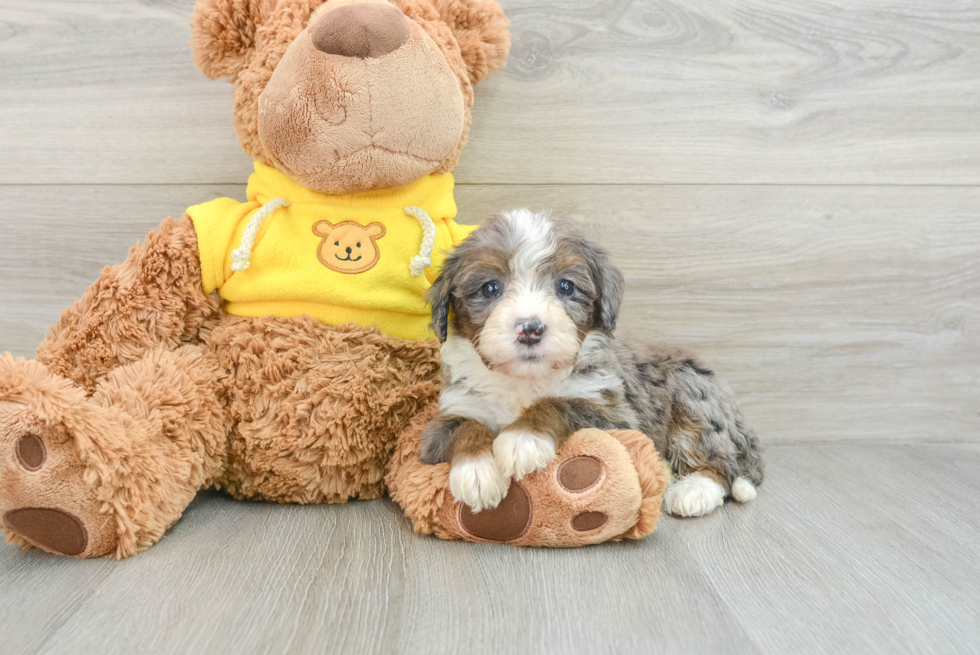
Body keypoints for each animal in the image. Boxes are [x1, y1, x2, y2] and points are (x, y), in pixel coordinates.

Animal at [418, 210, 760, 516]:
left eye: (566, 286)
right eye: (490, 287)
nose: (531, 329)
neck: (525, 381)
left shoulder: (616, 416)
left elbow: (560, 403)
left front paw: (522, 439)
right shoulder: (450, 412)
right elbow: (462, 426)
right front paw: (477, 473)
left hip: (693, 391)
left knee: (721, 463)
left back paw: (691, 491)